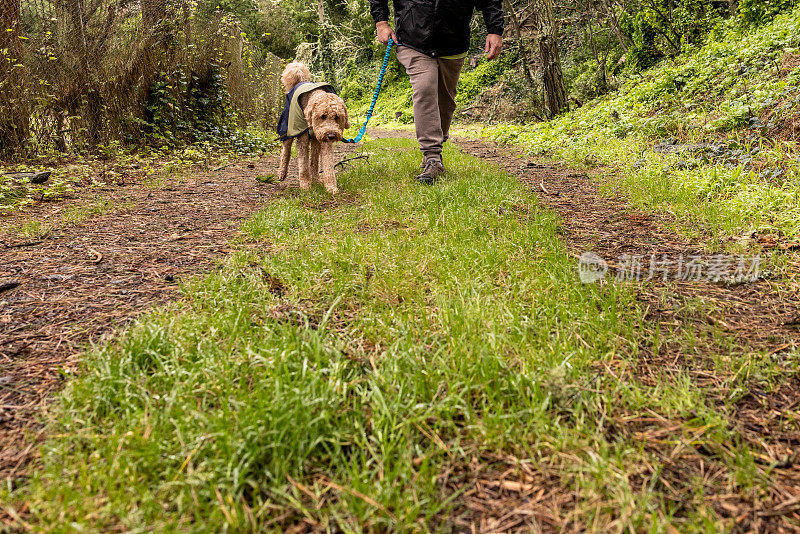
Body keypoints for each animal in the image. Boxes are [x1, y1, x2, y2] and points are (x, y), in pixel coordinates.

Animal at [276, 61, 348, 195]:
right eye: (323, 116)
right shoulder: (302, 140)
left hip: (316, 142)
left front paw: (331, 187)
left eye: (337, 117)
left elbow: (327, 166)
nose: (331, 135)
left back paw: (316, 179)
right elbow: (303, 166)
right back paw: (282, 173)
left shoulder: (324, 142)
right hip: (288, 130)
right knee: (286, 151)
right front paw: (305, 186)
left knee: (314, 162)